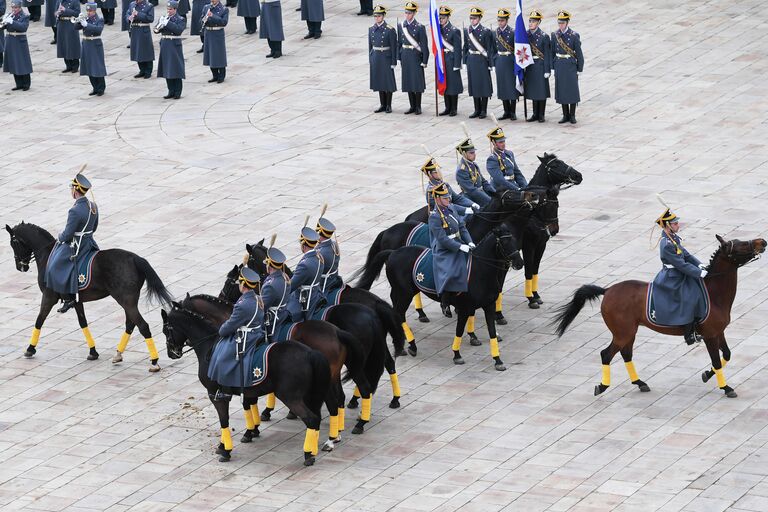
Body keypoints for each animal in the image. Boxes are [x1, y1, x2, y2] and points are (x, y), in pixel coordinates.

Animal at [4, 222, 172, 370]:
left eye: (13, 242)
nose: (20, 267)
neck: (47, 254)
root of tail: (135, 258)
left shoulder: (48, 296)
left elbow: (39, 320)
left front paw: (30, 348)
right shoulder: (76, 300)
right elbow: (83, 322)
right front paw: (93, 352)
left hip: (126, 301)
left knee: (143, 326)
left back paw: (154, 362)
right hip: (128, 302)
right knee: (130, 325)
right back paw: (118, 354)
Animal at [162, 304, 330, 468]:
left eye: (165, 330)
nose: (171, 353)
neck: (209, 347)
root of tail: (309, 353)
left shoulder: (215, 395)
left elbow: (224, 420)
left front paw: (226, 450)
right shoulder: (246, 392)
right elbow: (244, 409)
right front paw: (242, 436)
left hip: (291, 398)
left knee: (311, 419)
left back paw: (308, 454)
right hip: (308, 395)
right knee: (316, 418)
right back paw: (313, 450)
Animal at [182, 294, 370, 450]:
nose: (175, 351)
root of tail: (336, 331)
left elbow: (243, 407)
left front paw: (249, 431)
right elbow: (249, 404)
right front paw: (254, 428)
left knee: (349, 395)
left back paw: (347, 430)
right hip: (334, 375)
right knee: (340, 398)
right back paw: (337, 432)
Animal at [356, 226, 524, 370]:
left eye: (515, 240)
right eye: (504, 242)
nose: (519, 263)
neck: (480, 270)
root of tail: (393, 252)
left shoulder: (488, 305)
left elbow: (491, 332)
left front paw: (498, 360)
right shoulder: (464, 308)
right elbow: (459, 330)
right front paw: (457, 355)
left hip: (401, 293)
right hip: (404, 293)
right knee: (399, 315)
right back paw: (411, 345)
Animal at [556, 236, 764, 400]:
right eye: (739, 246)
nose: (762, 241)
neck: (714, 293)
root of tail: (607, 290)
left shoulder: (719, 332)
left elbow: (727, 354)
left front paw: (707, 374)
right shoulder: (710, 336)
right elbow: (716, 360)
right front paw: (726, 387)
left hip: (629, 333)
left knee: (626, 354)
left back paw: (640, 383)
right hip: (623, 333)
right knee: (606, 354)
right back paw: (602, 386)